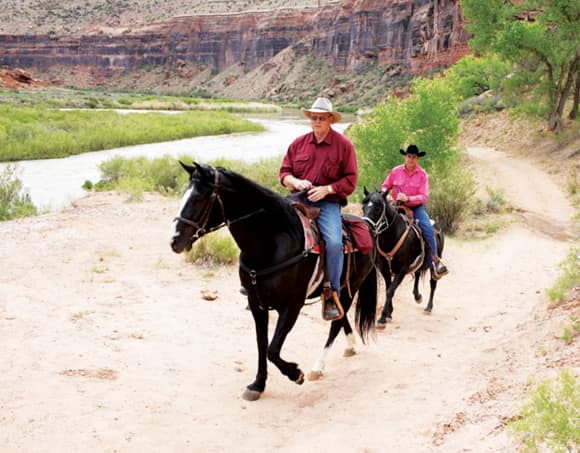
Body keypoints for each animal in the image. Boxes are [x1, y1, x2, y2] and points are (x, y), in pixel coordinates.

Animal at [170, 162, 378, 400]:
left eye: (198, 199)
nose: (174, 240)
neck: (271, 244)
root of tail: (368, 227)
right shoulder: (255, 303)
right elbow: (262, 344)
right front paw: (258, 384)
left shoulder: (292, 305)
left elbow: (272, 349)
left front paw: (296, 374)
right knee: (341, 318)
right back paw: (350, 346)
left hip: (350, 288)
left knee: (335, 323)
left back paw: (318, 367)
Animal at [362, 188, 444, 328]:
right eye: (363, 206)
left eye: (378, 208)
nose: (366, 226)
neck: (393, 236)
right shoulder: (385, 269)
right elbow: (388, 288)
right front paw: (389, 313)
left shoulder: (402, 270)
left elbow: (390, 290)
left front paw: (382, 318)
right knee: (417, 273)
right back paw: (417, 296)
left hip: (434, 263)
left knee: (433, 282)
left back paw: (428, 307)